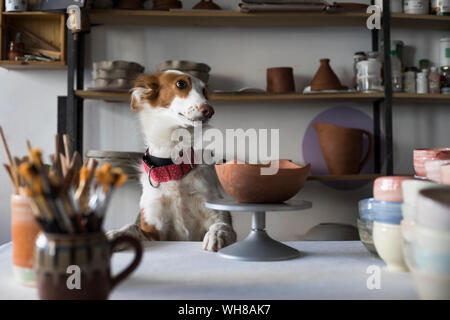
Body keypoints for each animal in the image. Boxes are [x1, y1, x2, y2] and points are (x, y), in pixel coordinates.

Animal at [107, 71, 237, 251]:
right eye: (180, 84)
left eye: (204, 90)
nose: (210, 110)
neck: (172, 167)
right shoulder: (154, 231)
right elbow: (132, 227)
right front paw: (116, 234)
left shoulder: (217, 212)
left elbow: (221, 225)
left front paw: (217, 235)